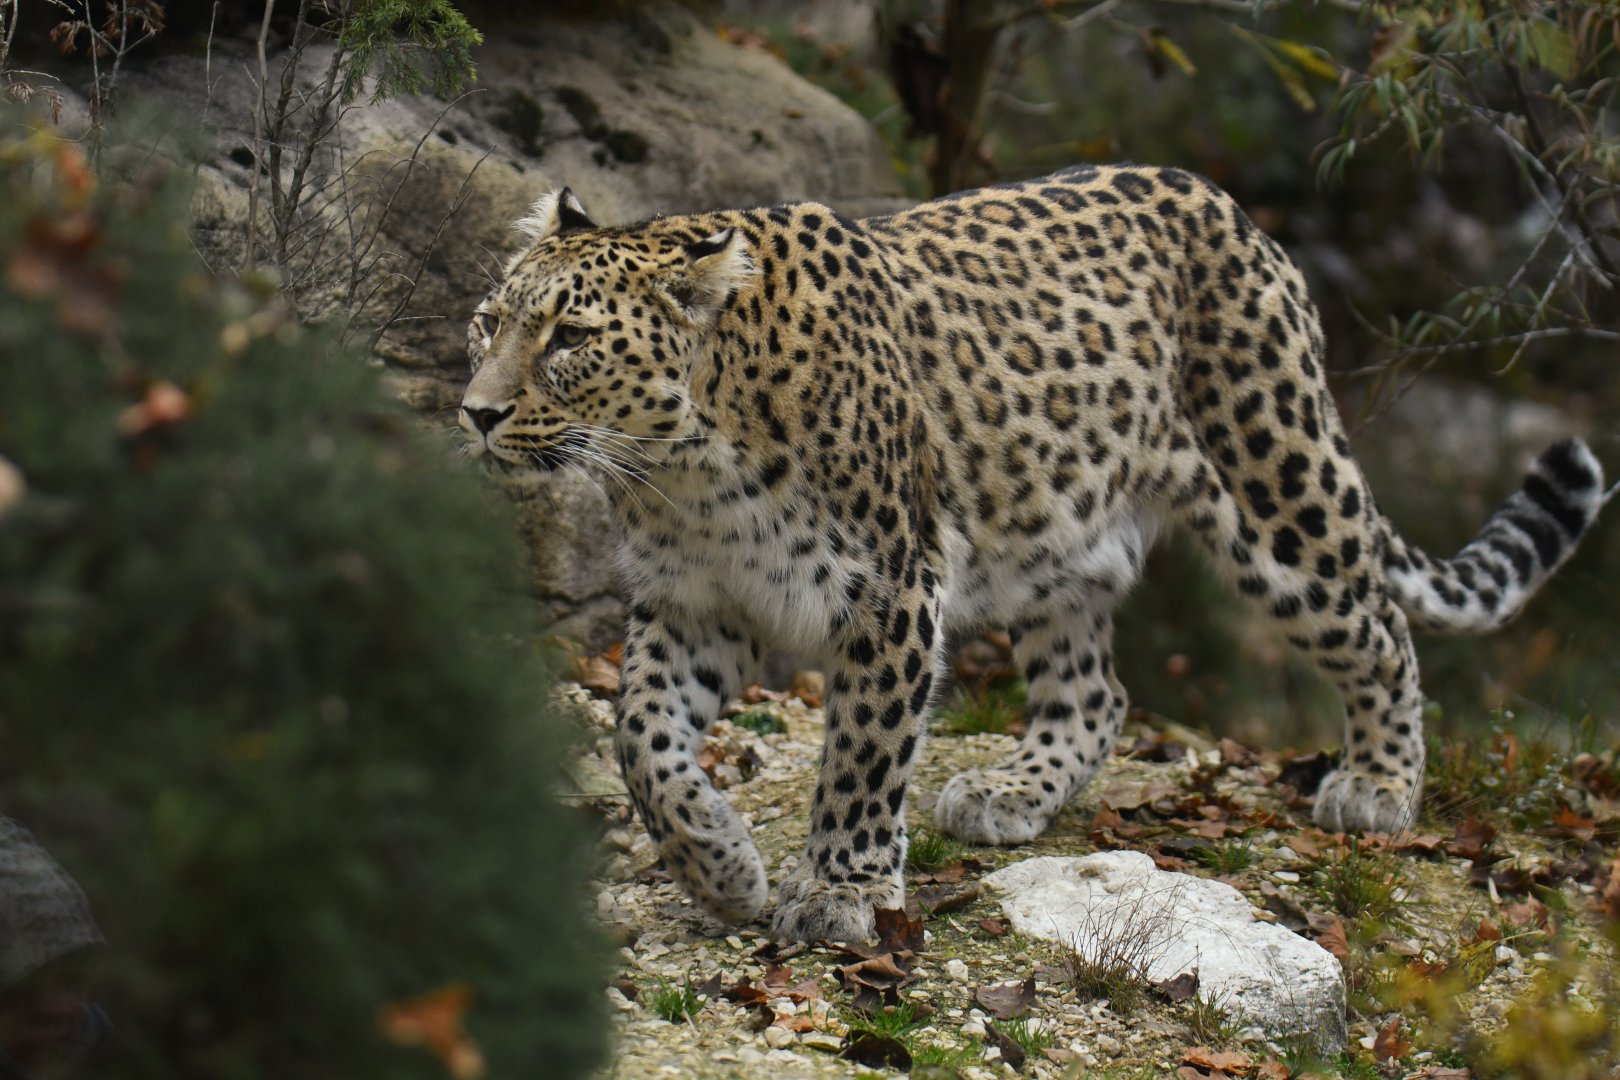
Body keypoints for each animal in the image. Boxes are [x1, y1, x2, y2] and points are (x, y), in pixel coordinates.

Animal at [459, 166, 1609, 943]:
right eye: (487, 322)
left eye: (569, 340)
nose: (475, 412)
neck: (687, 467)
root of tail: (1230, 208)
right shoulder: (701, 603)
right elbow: (641, 741)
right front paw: (719, 868)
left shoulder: (889, 591)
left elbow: (864, 752)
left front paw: (838, 889)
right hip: (1056, 538)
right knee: (1096, 691)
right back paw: (1011, 790)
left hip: (1278, 486)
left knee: (1379, 629)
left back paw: (1377, 783)